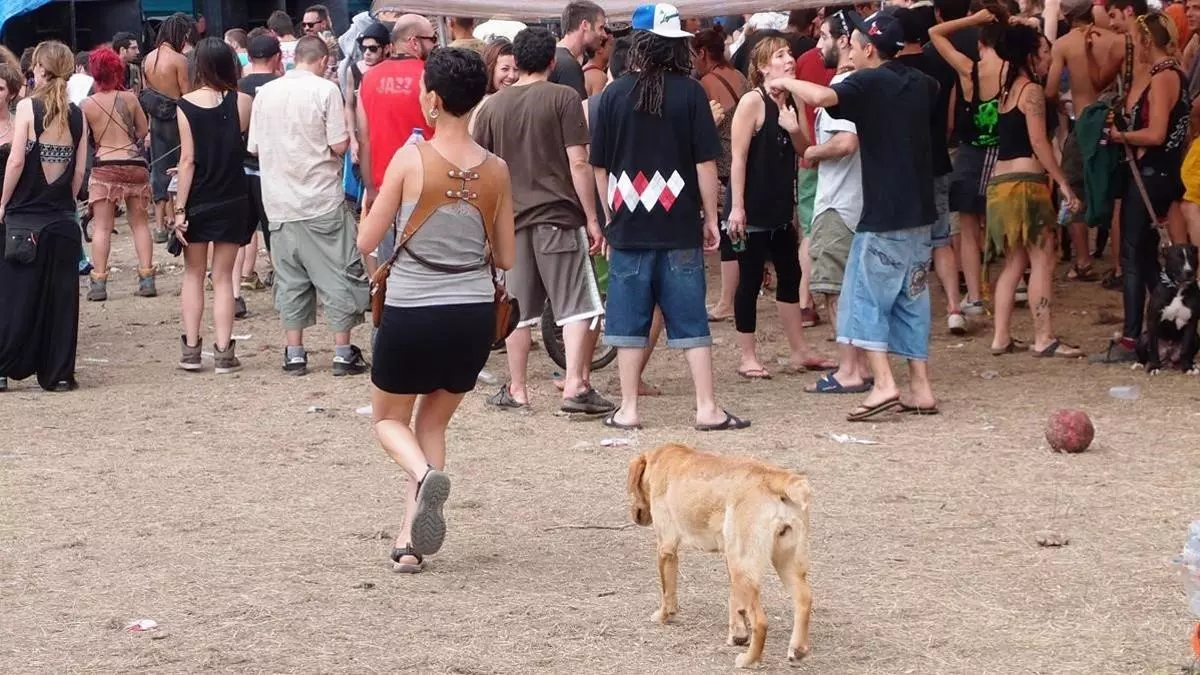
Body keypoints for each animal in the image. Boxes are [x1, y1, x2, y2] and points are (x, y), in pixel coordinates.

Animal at [627, 443, 812, 668]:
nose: (635, 517)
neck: (664, 458)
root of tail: (776, 478)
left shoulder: (666, 548)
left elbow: (667, 592)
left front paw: (663, 615)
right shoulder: (729, 558)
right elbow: (735, 601)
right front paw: (738, 635)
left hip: (745, 568)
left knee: (760, 621)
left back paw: (749, 660)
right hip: (779, 563)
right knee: (804, 599)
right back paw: (797, 649)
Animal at [1138, 243, 1200, 375]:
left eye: (1192, 257)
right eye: (1177, 258)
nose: (1189, 272)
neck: (1178, 289)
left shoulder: (1192, 322)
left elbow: (1185, 349)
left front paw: (1187, 367)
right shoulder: (1153, 321)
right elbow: (1153, 347)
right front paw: (1154, 367)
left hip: (1196, 338)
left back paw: (1192, 364)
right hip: (1142, 338)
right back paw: (1140, 363)